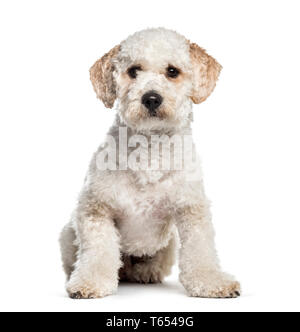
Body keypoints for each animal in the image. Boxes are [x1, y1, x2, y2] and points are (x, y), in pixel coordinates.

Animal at [59, 27, 240, 298]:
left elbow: (200, 251)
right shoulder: (95, 209)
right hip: (67, 235)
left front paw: (212, 282)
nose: (151, 98)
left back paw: (146, 272)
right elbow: (98, 251)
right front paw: (89, 283)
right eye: (134, 70)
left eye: (172, 71)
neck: (150, 149)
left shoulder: (191, 210)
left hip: (168, 243)